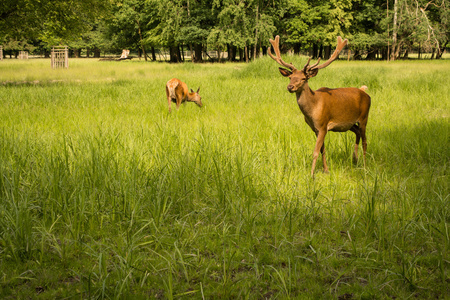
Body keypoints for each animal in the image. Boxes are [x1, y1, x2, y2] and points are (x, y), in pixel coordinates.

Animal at [268, 35, 370, 177]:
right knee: (358, 133)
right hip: (350, 123)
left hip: (364, 117)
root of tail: (366, 93)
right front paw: (326, 170)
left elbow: (315, 152)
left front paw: (311, 175)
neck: (312, 109)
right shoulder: (315, 128)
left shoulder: (323, 125)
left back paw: (365, 166)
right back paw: (355, 160)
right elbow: (323, 150)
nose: (290, 87)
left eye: (304, 78)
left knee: (365, 141)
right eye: (290, 77)